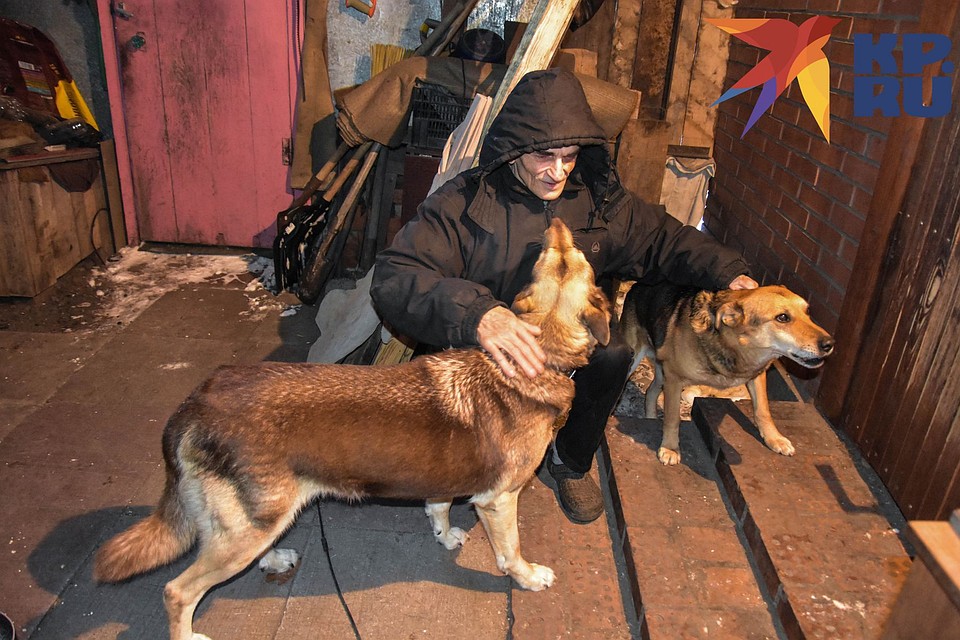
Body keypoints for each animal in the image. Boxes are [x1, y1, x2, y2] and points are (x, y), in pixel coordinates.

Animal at [94, 219, 612, 640]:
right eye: (569, 258)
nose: (558, 221)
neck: (537, 354)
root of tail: (194, 404)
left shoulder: (445, 481)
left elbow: (439, 507)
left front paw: (444, 535)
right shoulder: (499, 501)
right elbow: (510, 553)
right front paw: (527, 576)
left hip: (256, 520)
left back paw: (274, 560)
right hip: (245, 530)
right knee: (178, 591)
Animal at [624, 280, 832, 464]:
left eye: (807, 311)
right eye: (782, 317)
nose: (829, 343)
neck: (735, 347)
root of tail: (639, 286)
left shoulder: (757, 375)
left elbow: (763, 410)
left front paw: (774, 438)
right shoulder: (674, 380)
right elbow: (672, 418)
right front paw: (670, 448)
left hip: (661, 373)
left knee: (651, 391)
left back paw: (650, 418)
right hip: (637, 361)